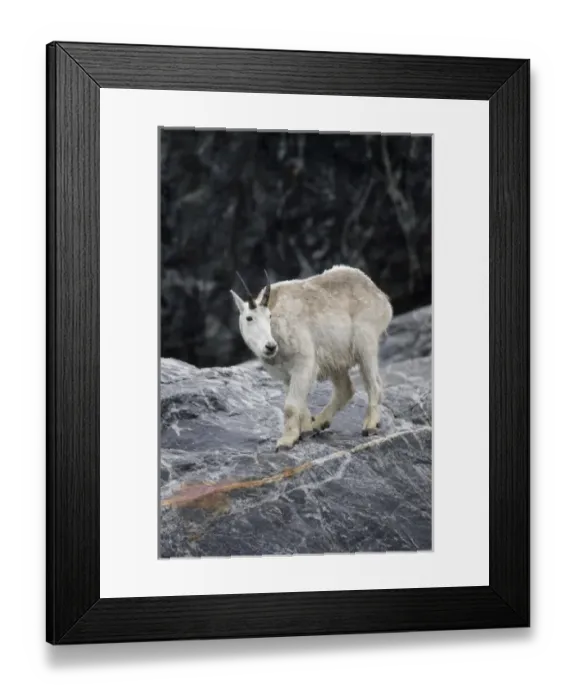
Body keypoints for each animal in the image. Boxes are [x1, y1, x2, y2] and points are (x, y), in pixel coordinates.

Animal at [230, 265, 393, 451]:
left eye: (269, 316)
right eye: (249, 318)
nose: (270, 346)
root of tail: (380, 295)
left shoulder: (304, 362)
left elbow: (291, 406)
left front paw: (286, 441)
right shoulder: (287, 374)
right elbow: (299, 402)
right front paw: (306, 430)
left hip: (365, 342)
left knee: (373, 383)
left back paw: (370, 425)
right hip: (335, 357)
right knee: (345, 389)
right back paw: (319, 423)